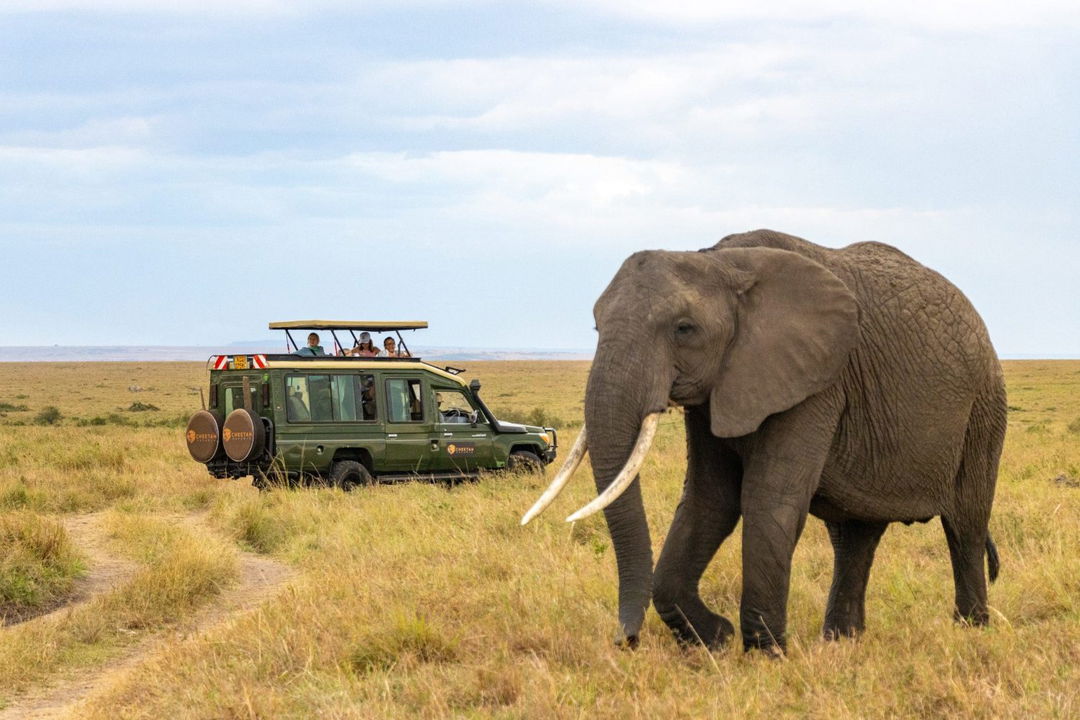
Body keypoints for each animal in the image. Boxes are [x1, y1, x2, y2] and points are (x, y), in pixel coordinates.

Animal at [522, 229, 1006, 653]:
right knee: (854, 535)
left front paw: (765, 653)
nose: (627, 641)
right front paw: (716, 639)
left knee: (965, 522)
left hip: (984, 406)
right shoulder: (719, 388)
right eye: (595, 327)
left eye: (684, 329)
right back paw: (841, 642)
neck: (720, 261)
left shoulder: (815, 380)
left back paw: (970, 630)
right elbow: (709, 500)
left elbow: (768, 499)